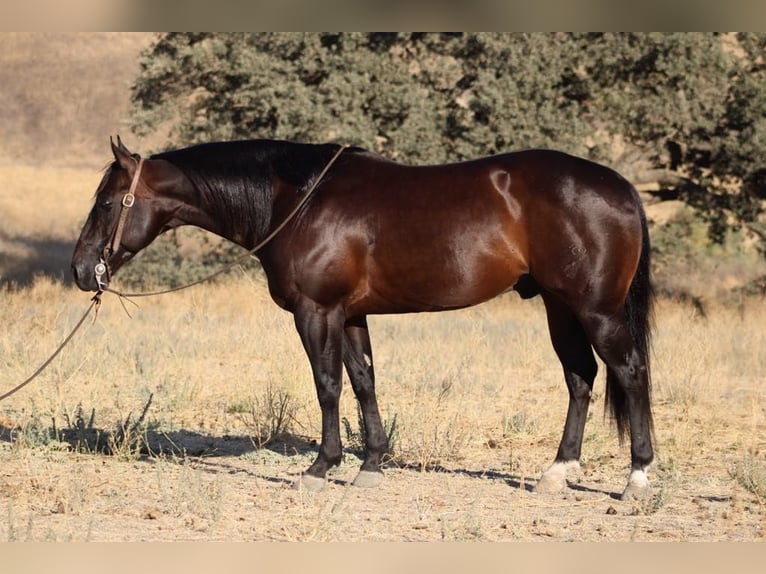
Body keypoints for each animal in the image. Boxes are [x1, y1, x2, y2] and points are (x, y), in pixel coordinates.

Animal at [72, 137, 656, 502]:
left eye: (107, 203)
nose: (80, 269)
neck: (297, 200)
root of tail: (622, 188)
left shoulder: (317, 312)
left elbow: (328, 386)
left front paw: (320, 468)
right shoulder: (352, 315)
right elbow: (364, 382)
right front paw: (370, 466)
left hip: (596, 310)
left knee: (630, 373)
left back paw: (638, 478)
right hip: (560, 307)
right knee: (581, 378)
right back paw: (558, 473)